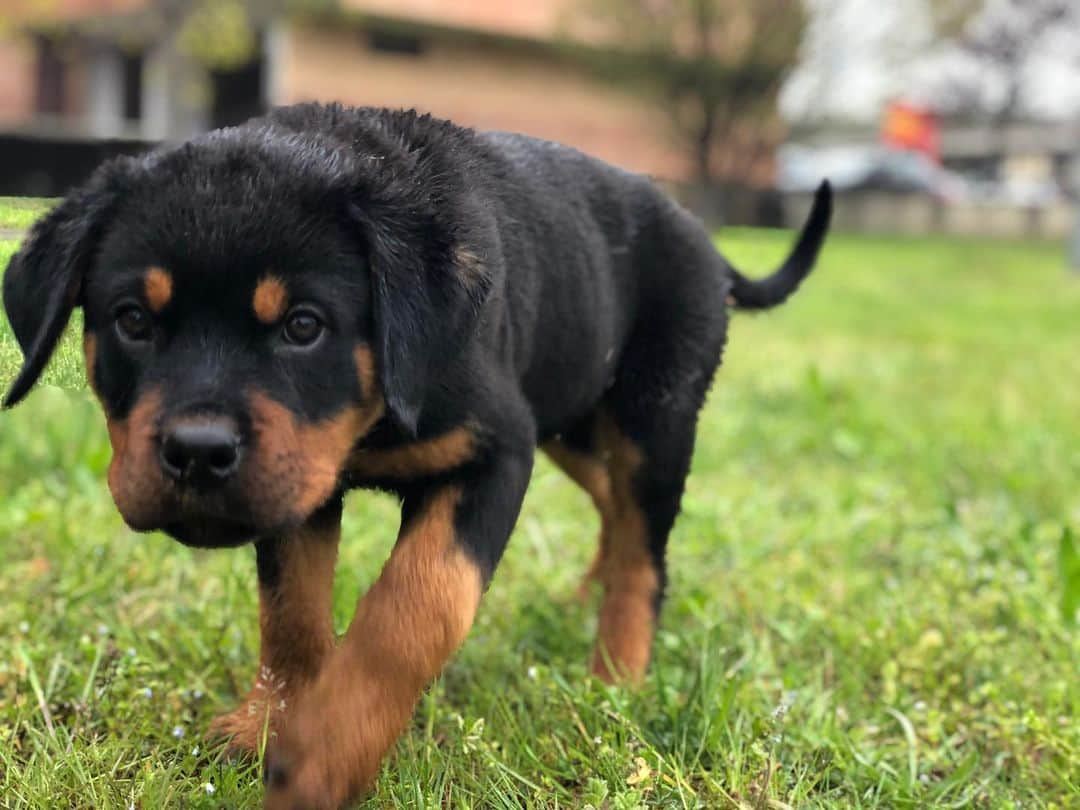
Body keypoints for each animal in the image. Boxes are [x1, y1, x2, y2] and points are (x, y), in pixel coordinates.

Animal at [0, 104, 829, 807]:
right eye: (133, 320)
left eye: (304, 326)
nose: (197, 453)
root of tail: (708, 245)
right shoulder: (300, 485)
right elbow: (291, 611)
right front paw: (271, 722)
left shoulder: (497, 453)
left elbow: (417, 603)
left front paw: (325, 750)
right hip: (572, 419)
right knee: (610, 505)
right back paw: (583, 597)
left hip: (651, 421)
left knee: (644, 554)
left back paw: (615, 674)